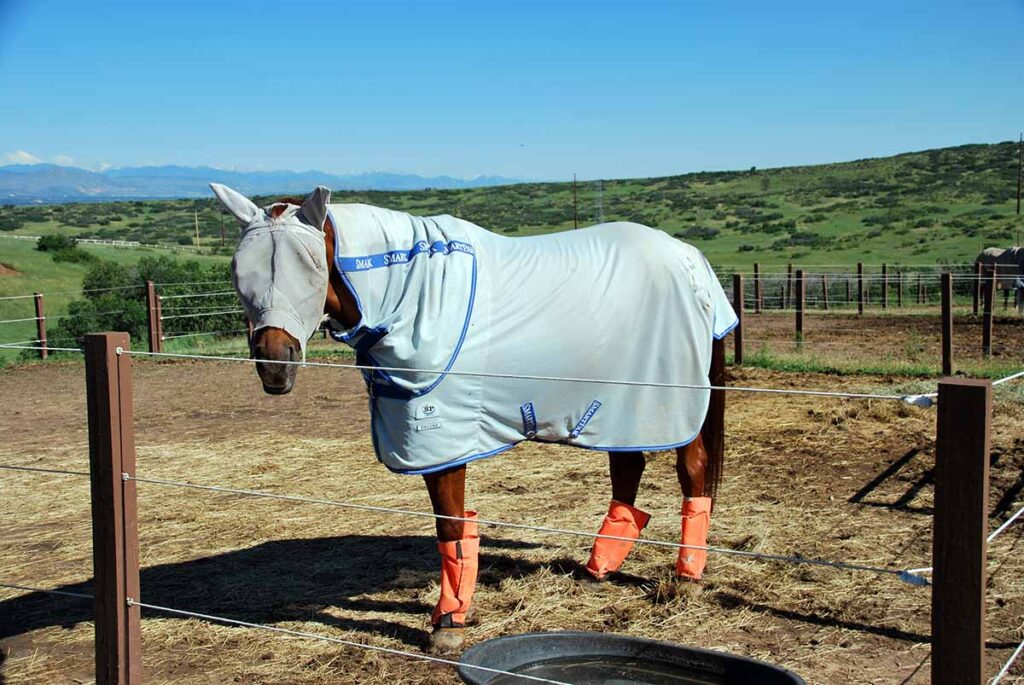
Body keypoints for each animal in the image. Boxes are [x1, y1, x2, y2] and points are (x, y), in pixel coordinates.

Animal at [211, 183, 738, 653]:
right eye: (241, 271)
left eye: (310, 269)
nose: (274, 365)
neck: (412, 293)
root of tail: (689, 258)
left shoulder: (443, 441)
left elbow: (451, 528)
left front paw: (448, 623)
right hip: (623, 408)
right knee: (628, 469)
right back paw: (597, 570)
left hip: (675, 403)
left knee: (692, 471)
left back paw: (686, 577)